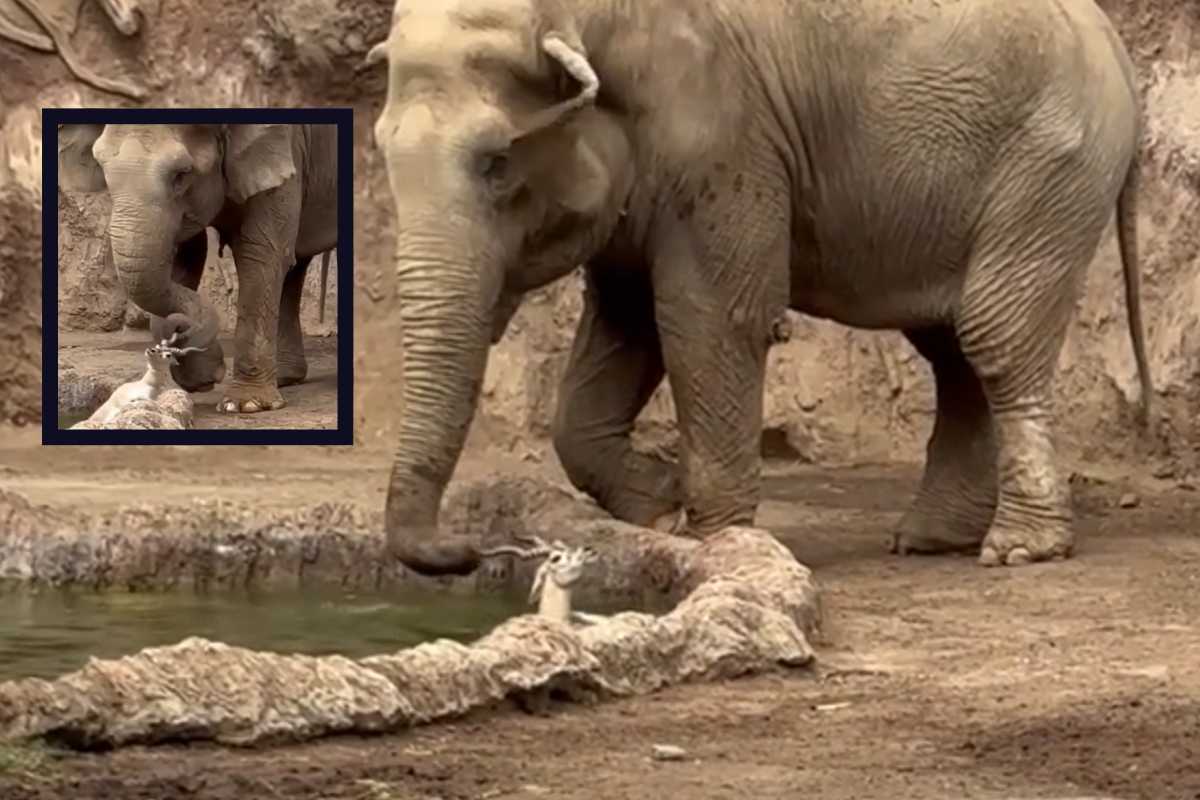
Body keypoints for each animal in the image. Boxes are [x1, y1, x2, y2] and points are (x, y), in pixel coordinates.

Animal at [57, 123, 338, 413]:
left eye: (182, 174)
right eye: (101, 167)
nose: (178, 337)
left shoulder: (281, 146)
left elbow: (261, 252)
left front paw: (244, 405)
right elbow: (186, 252)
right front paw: (202, 379)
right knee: (295, 265)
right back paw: (285, 378)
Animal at [369, 0, 1153, 576]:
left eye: (496, 163)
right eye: (376, 146)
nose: (468, 550)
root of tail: (1117, 47)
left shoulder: (722, 129)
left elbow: (707, 316)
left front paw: (714, 541)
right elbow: (624, 328)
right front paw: (661, 506)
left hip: (1052, 166)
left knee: (993, 335)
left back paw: (1018, 549)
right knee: (954, 345)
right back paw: (932, 540)